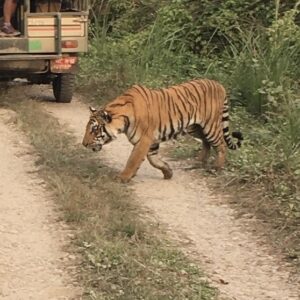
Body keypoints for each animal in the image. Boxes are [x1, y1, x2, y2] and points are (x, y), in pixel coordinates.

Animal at [82, 78, 244, 183]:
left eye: (94, 129)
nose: (84, 144)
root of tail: (219, 85)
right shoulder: (151, 141)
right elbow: (153, 160)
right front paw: (168, 172)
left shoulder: (144, 140)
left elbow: (133, 160)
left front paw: (123, 178)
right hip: (195, 128)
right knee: (206, 142)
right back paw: (199, 161)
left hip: (210, 126)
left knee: (221, 145)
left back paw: (217, 168)